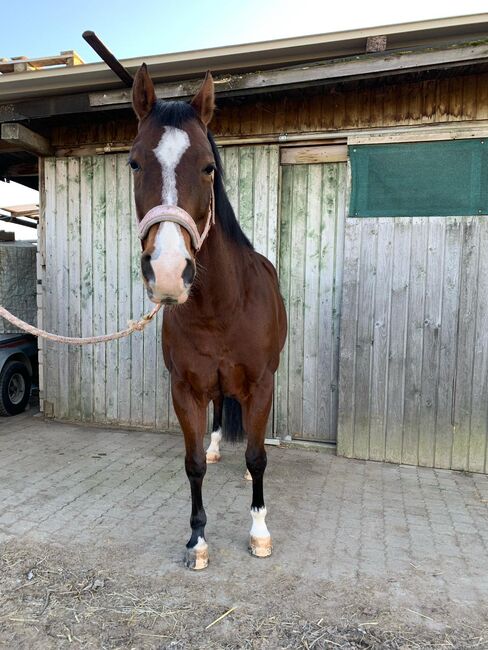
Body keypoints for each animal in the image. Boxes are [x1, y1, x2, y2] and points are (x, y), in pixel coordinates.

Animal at [132, 63, 288, 564]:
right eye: (134, 163)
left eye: (208, 167)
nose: (167, 272)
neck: (221, 307)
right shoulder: (186, 389)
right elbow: (194, 463)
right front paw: (197, 539)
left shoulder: (261, 383)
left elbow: (258, 455)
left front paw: (259, 532)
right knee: (221, 412)